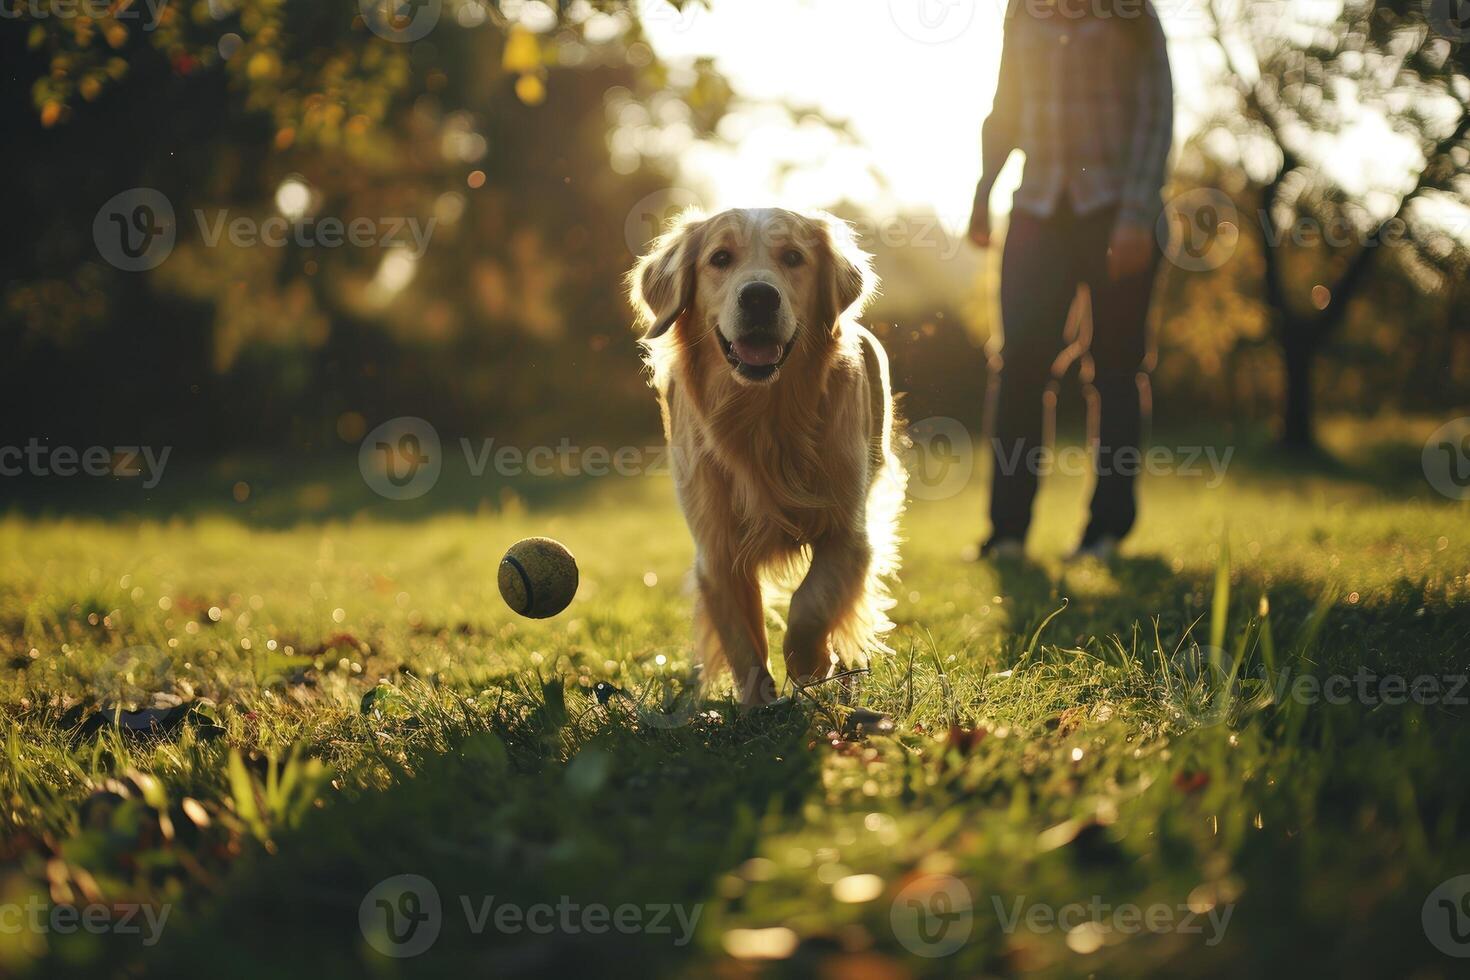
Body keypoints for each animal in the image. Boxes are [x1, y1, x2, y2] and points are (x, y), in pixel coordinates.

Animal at [626, 208, 899, 705]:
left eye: (793, 257)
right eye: (720, 258)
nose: (758, 297)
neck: (762, 418)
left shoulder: (849, 533)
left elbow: (811, 602)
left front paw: (811, 662)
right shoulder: (716, 549)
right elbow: (741, 638)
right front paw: (758, 706)